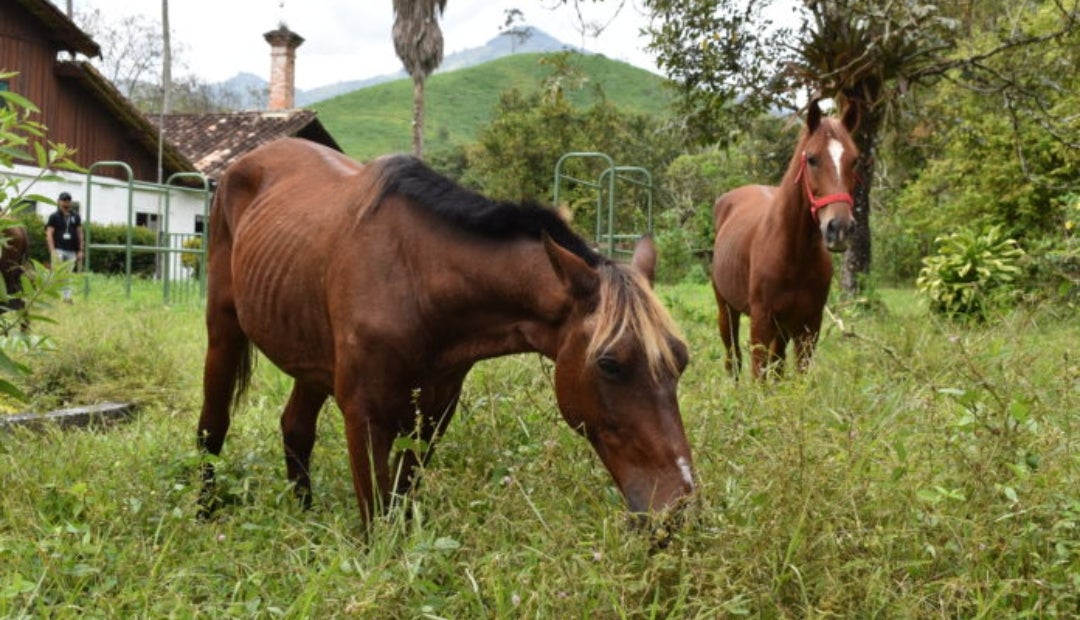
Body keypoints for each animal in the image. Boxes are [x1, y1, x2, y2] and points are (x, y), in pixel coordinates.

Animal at [197, 137, 695, 524]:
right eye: (609, 364)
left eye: (681, 360)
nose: (679, 506)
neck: (416, 280)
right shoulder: (363, 414)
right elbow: (377, 519)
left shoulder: (433, 415)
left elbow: (401, 503)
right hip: (224, 330)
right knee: (212, 427)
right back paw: (206, 513)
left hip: (311, 356)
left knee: (296, 427)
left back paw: (304, 515)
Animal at [710, 100, 859, 380]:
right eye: (812, 159)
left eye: (855, 161)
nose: (840, 228)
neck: (792, 252)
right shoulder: (761, 321)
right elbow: (758, 374)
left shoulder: (809, 325)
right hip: (726, 308)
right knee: (733, 358)